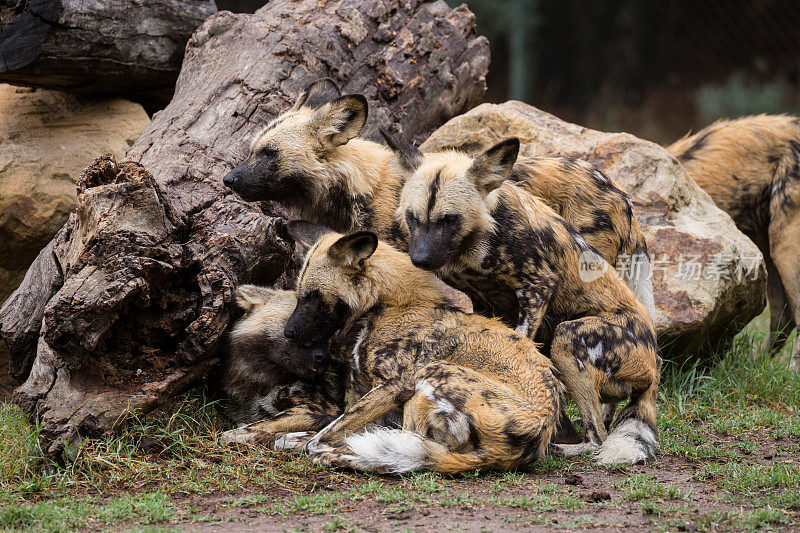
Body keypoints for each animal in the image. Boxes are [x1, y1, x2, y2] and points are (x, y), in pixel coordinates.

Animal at [262, 221, 564, 474]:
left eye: (314, 297)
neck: (385, 305)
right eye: (299, 294)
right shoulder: (366, 399)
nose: (289, 332)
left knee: (408, 450)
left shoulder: (393, 386)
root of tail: (538, 436)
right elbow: (298, 436)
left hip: (431, 374)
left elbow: (318, 438)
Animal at [390, 138, 660, 466]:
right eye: (412, 217)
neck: (478, 241)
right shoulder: (485, 303)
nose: (420, 259)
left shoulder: (539, 286)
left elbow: (522, 343)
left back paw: (562, 447)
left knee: (598, 436)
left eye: (450, 219)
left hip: (569, 338)